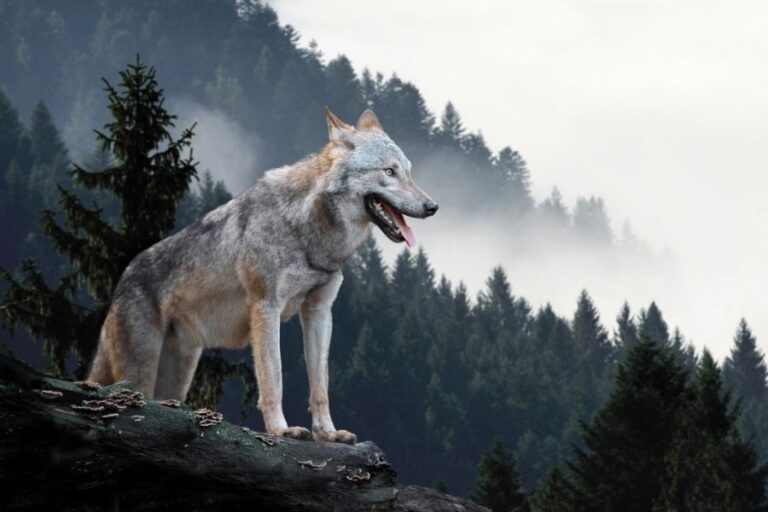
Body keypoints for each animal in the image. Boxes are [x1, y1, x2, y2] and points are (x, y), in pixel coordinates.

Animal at [88, 108, 438, 443]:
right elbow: (274, 379)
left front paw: (327, 433)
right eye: (389, 172)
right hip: (141, 372)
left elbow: (320, 386)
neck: (307, 230)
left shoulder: (319, 312)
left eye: (409, 171)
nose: (432, 206)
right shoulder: (266, 307)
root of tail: (122, 279)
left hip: (177, 378)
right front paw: (281, 430)